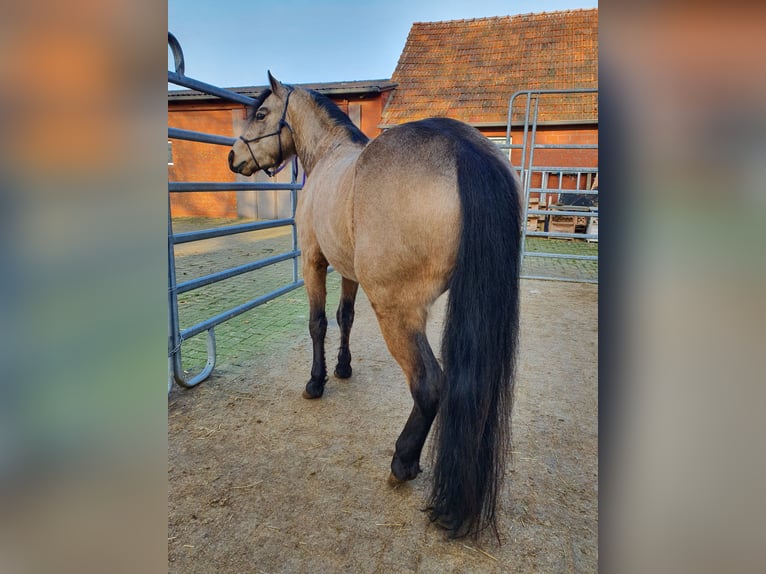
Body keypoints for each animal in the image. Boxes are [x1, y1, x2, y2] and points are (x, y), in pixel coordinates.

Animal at [228, 73, 522, 539]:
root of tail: (463, 148)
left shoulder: (314, 260)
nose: (232, 157)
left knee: (429, 384)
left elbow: (317, 323)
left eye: (260, 114)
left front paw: (317, 382)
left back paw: (403, 462)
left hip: (396, 311)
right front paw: (343, 368)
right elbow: (345, 318)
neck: (329, 154)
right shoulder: (347, 270)